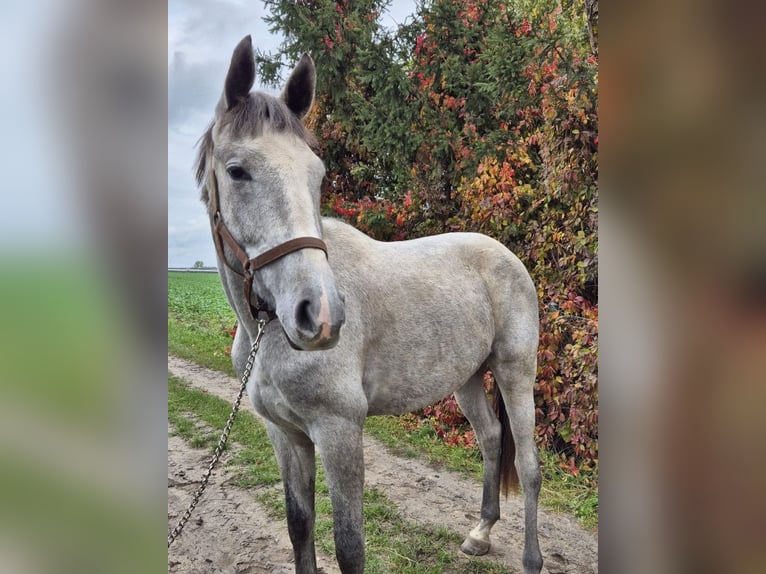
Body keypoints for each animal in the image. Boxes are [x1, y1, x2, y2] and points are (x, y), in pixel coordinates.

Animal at [196, 35, 543, 574]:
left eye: (317, 175)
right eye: (237, 171)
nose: (320, 314)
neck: (266, 335)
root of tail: (506, 256)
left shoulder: (338, 432)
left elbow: (349, 547)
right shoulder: (285, 436)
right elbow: (300, 529)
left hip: (514, 372)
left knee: (527, 465)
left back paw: (531, 557)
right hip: (466, 378)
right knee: (489, 438)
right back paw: (480, 533)